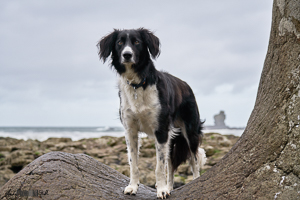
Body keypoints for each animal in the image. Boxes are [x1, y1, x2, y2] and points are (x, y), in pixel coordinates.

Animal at [97, 27, 205, 198]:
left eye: (136, 42)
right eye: (120, 43)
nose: (127, 55)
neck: (137, 84)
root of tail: (185, 84)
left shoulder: (161, 130)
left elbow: (159, 166)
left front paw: (160, 189)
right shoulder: (130, 130)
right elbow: (133, 162)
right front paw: (133, 186)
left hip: (190, 131)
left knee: (193, 159)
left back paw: (194, 181)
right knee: (171, 165)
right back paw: (169, 187)